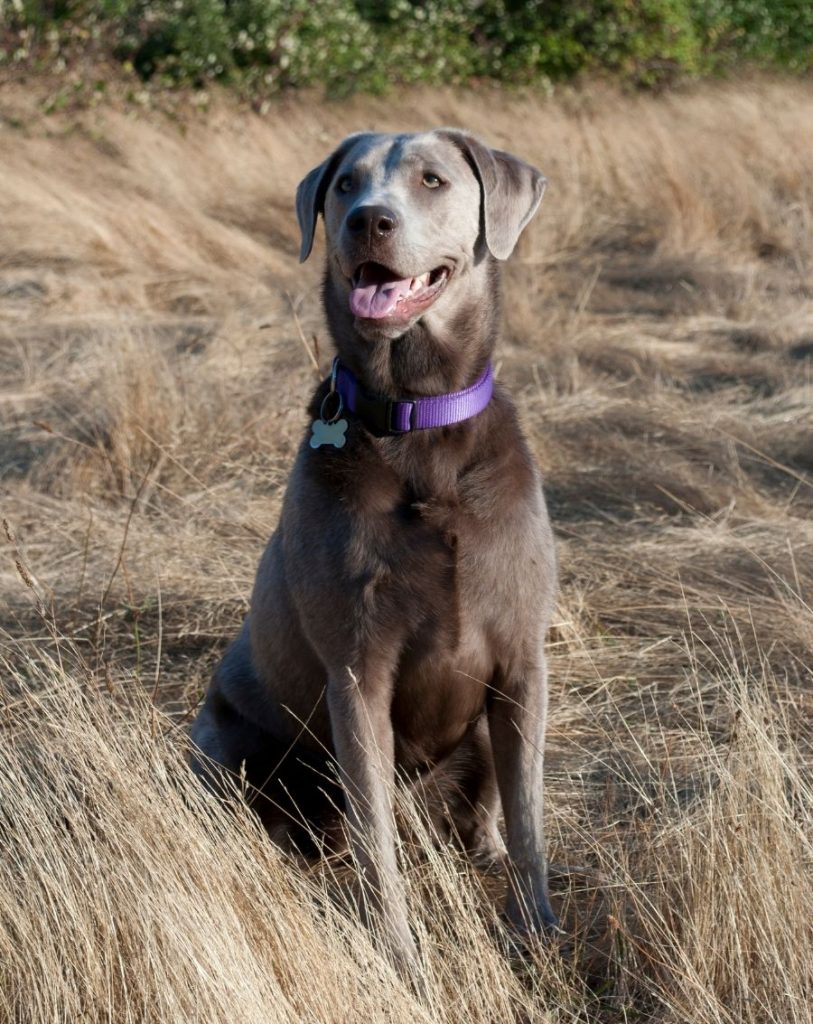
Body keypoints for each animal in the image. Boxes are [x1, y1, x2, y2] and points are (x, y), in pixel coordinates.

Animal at [190, 128, 557, 974]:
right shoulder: (358, 674)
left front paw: (537, 929)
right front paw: (397, 951)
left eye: (431, 180)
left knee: (480, 808)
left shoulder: (522, 664)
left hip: (482, 730)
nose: (368, 221)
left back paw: (479, 848)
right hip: (222, 741)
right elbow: (375, 836)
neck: (417, 417)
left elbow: (528, 817)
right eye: (344, 185)